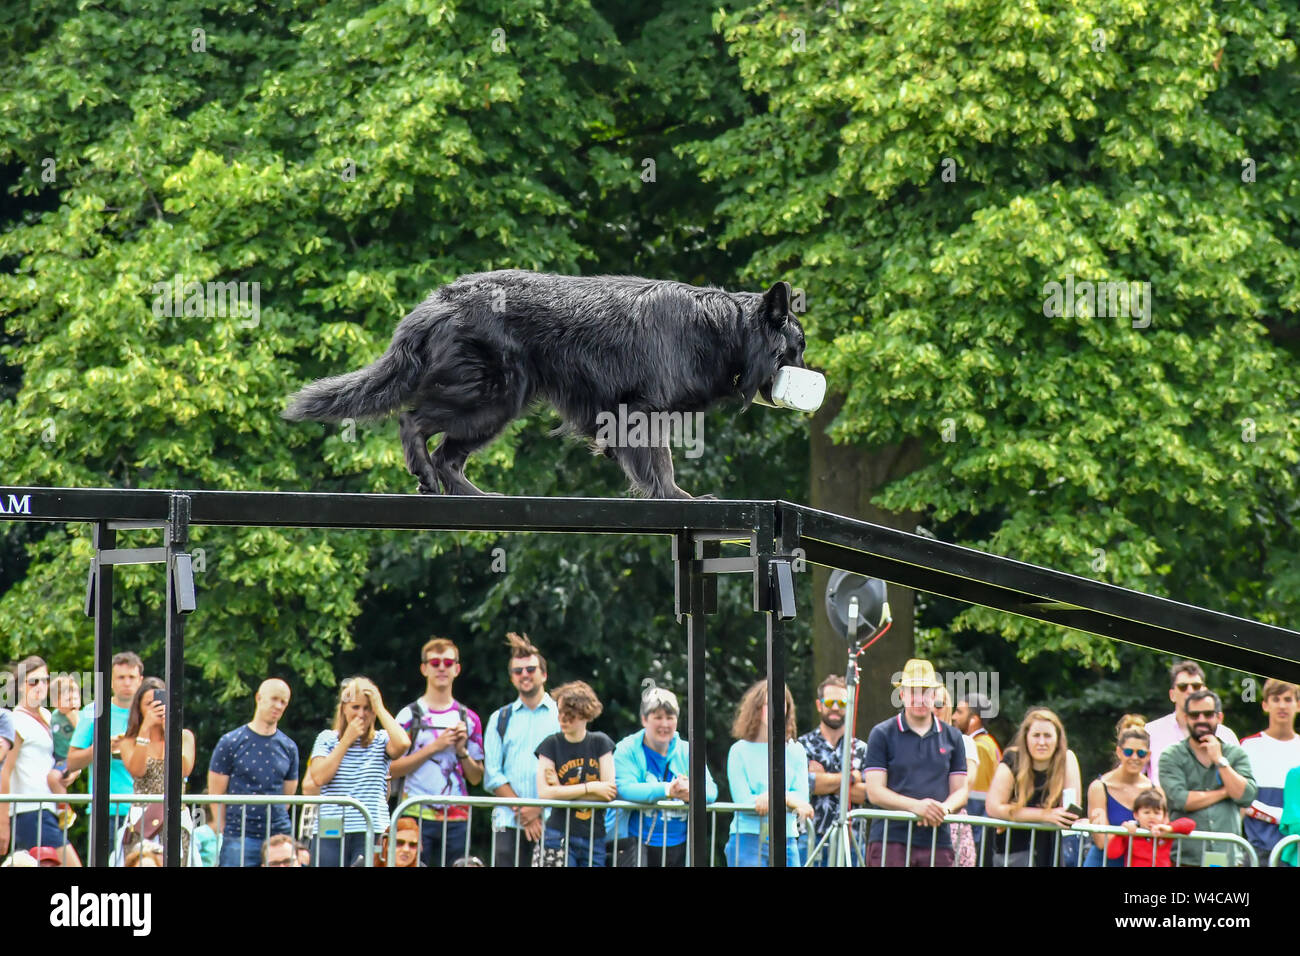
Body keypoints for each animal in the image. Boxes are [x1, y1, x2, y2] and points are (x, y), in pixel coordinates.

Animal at [287, 267, 800, 496]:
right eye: (799, 346)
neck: (721, 328)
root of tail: (440, 300)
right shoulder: (640, 411)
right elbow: (660, 463)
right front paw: (675, 497)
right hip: (492, 399)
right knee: (414, 422)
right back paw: (427, 476)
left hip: (493, 407)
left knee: (449, 455)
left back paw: (472, 496)